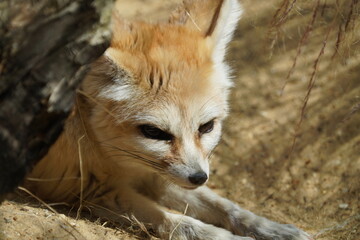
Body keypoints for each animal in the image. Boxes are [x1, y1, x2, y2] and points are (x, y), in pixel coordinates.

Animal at [25, 0, 312, 240]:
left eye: (207, 127)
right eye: (154, 132)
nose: (199, 178)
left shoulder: (158, 175)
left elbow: (226, 206)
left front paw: (271, 228)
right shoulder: (90, 190)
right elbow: (181, 224)